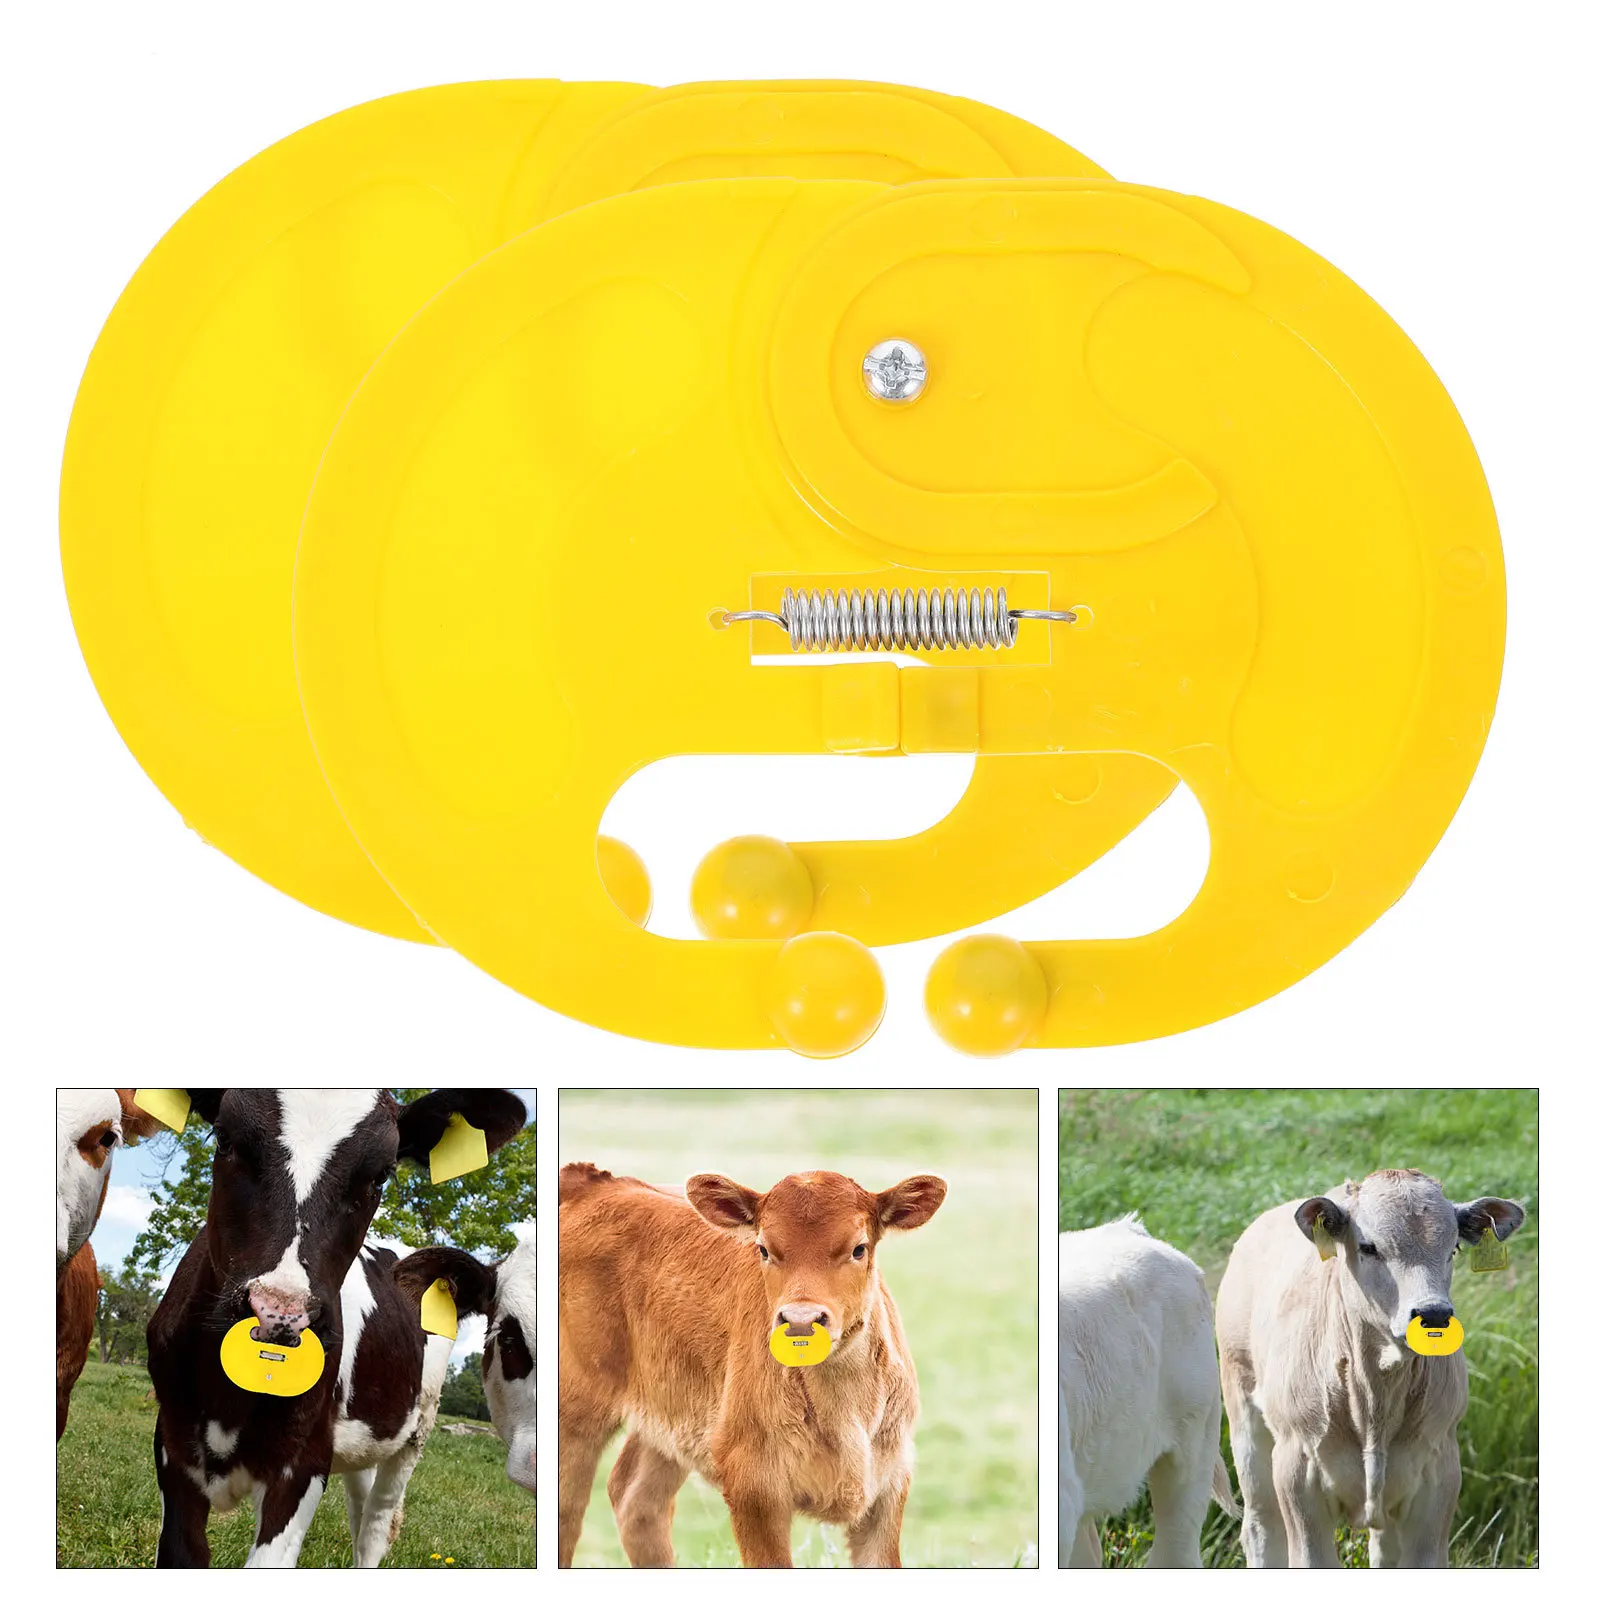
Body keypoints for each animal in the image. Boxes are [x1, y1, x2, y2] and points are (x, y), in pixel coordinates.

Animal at [558, 1161, 946, 1569]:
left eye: (859, 1248)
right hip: (576, 1410)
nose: (802, 1320)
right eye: (763, 1248)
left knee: (635, 1496)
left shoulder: (889, 1486)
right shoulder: (753, 1487)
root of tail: (595, 1183)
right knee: (567, 1510)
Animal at [1215, 1168, 1526, 1568]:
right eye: (1369, 1247)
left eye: (1453, 1248)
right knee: (1261, 1530)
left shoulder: (1438, 1476)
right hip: (1245, 1422)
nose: (1434, 1314)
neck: (1376, 1398)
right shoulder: (1299, 1474)